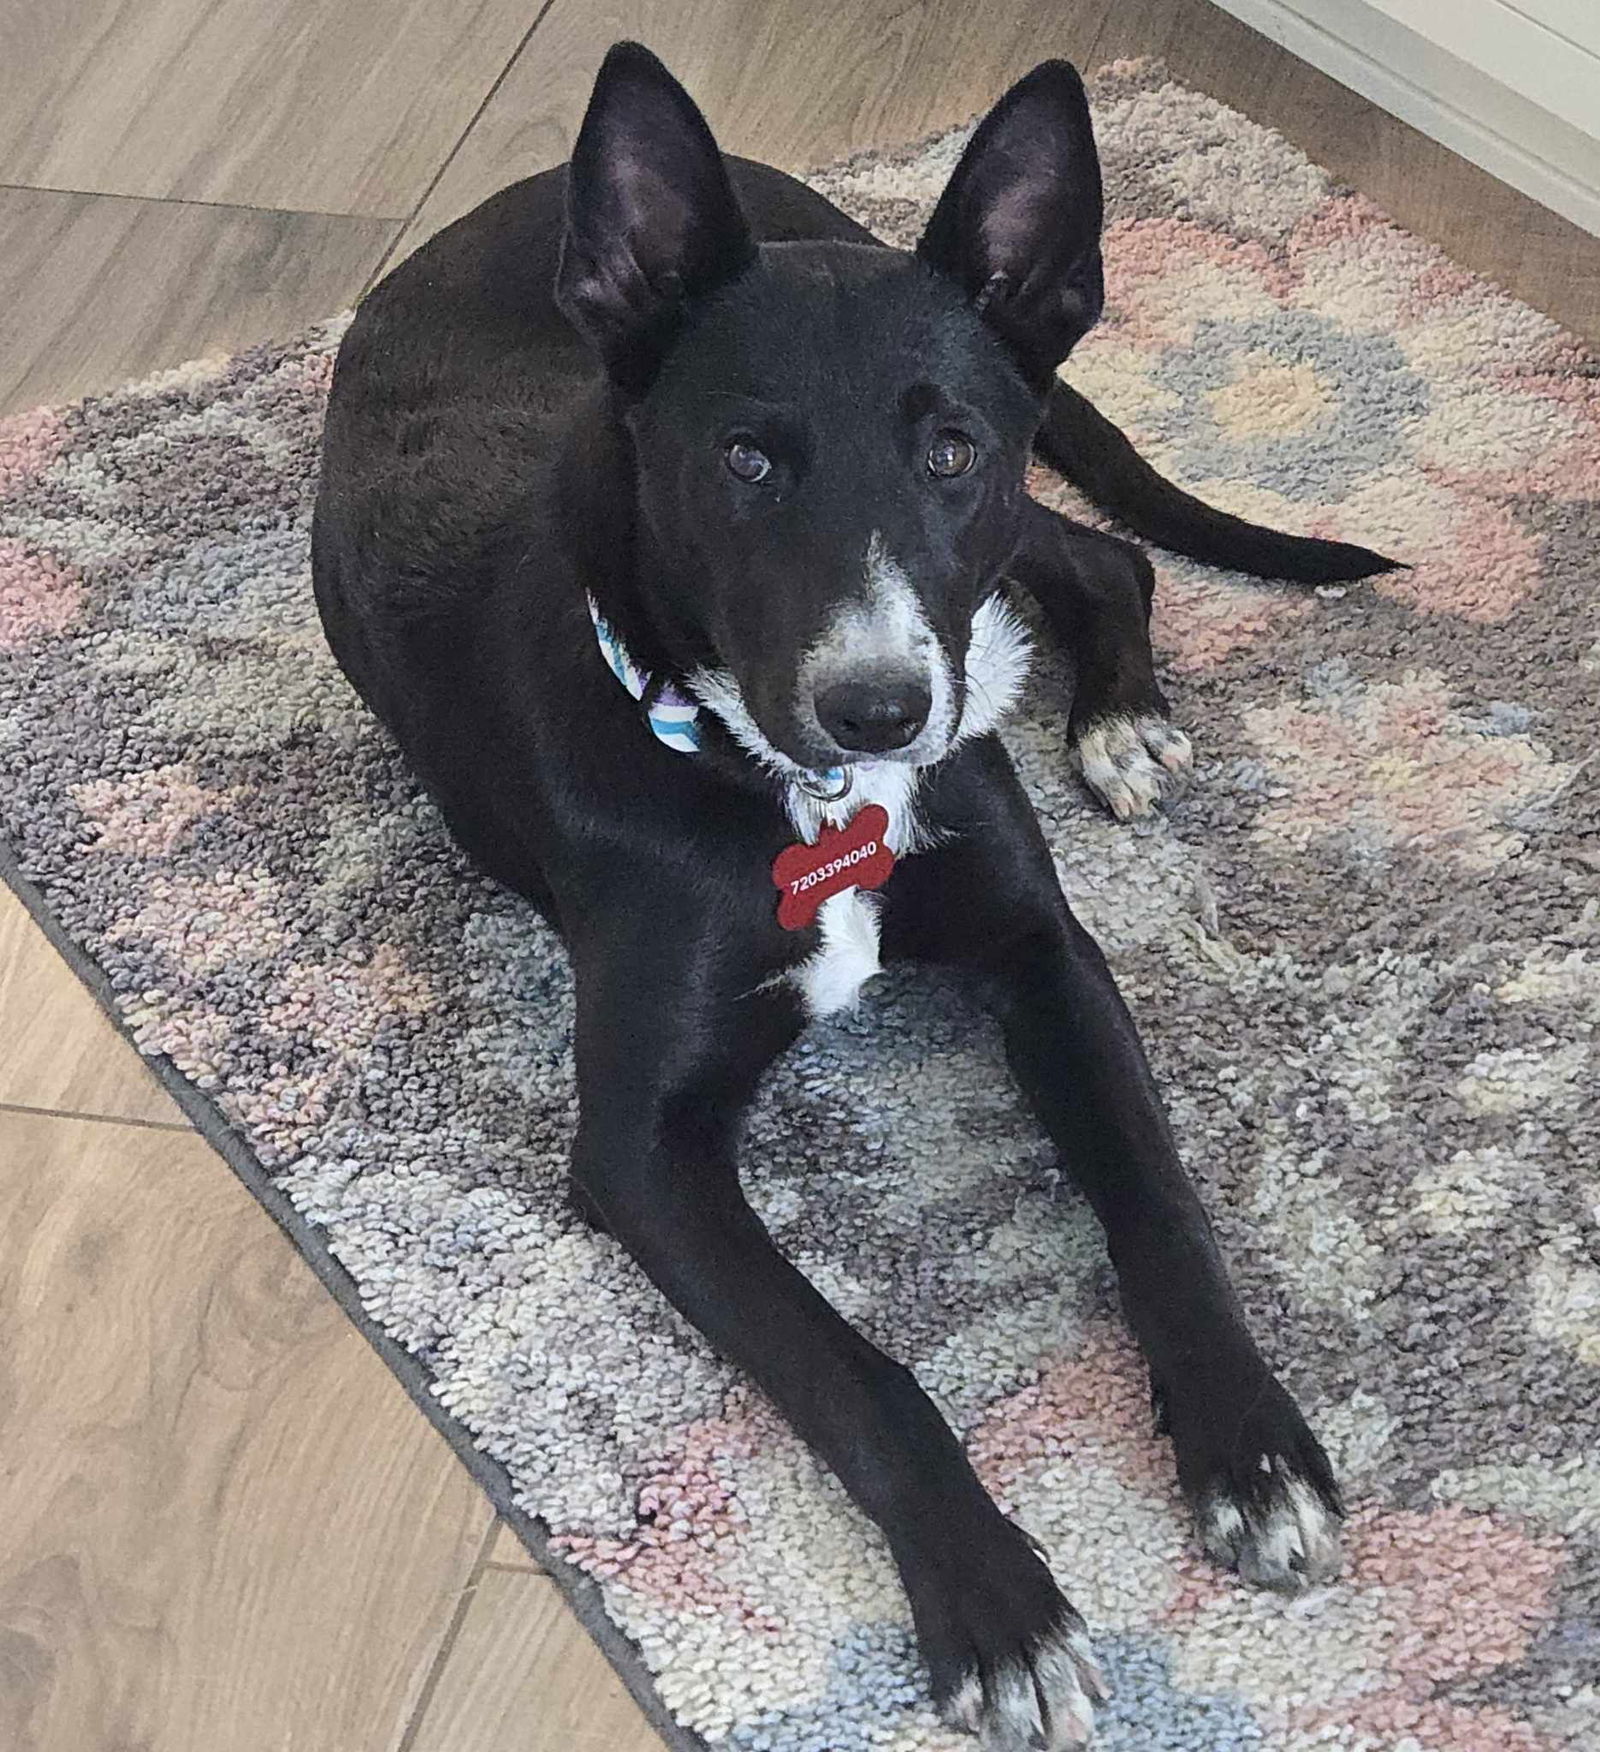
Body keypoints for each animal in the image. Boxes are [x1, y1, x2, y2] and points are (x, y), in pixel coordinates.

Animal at [315, 44, 1401, 1752]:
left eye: (949, 448)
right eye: (746, 462)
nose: (882, 709)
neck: (805, 798)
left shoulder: (1046, 954)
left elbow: (1157, 1200)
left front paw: (1253, 1446)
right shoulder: (641, 1152)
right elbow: (856, 1370)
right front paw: (1001, 1609)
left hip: (1011, 551)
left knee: (1100, 559)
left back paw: (1118, 717)